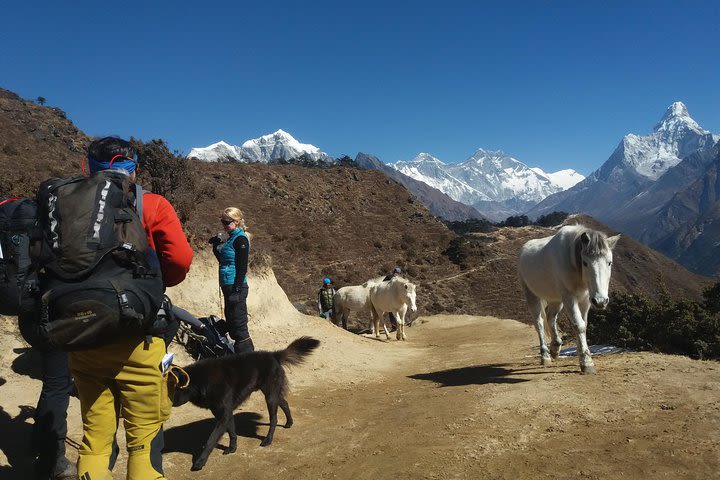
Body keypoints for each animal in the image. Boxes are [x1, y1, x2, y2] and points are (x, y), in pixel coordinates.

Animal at [173, 336, 320, 470]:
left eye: (175, 389)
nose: (170, 404)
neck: (203, 381)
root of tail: (273, 355)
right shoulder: (224, 414)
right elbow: (232, 432)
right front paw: (232, 448)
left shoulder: (223, 415)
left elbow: (211, 440)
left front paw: (199, 462)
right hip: (272, 393)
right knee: (284, 403)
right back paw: (289, 422)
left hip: (270, 397)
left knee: (274, 419)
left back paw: (268, 440)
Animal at [516, 225, 620, 376]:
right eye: (585, 263)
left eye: (609, 262)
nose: (601, 301)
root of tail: (524, 249)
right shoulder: (569, 297)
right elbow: (579, 325)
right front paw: (586, 363)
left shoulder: (585, 300)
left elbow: (584, 324)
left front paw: (581, 353)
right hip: (531, 294)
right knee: (539, 323)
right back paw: (545, 356)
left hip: (555, 299)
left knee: (550, 316)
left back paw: (555, 347)